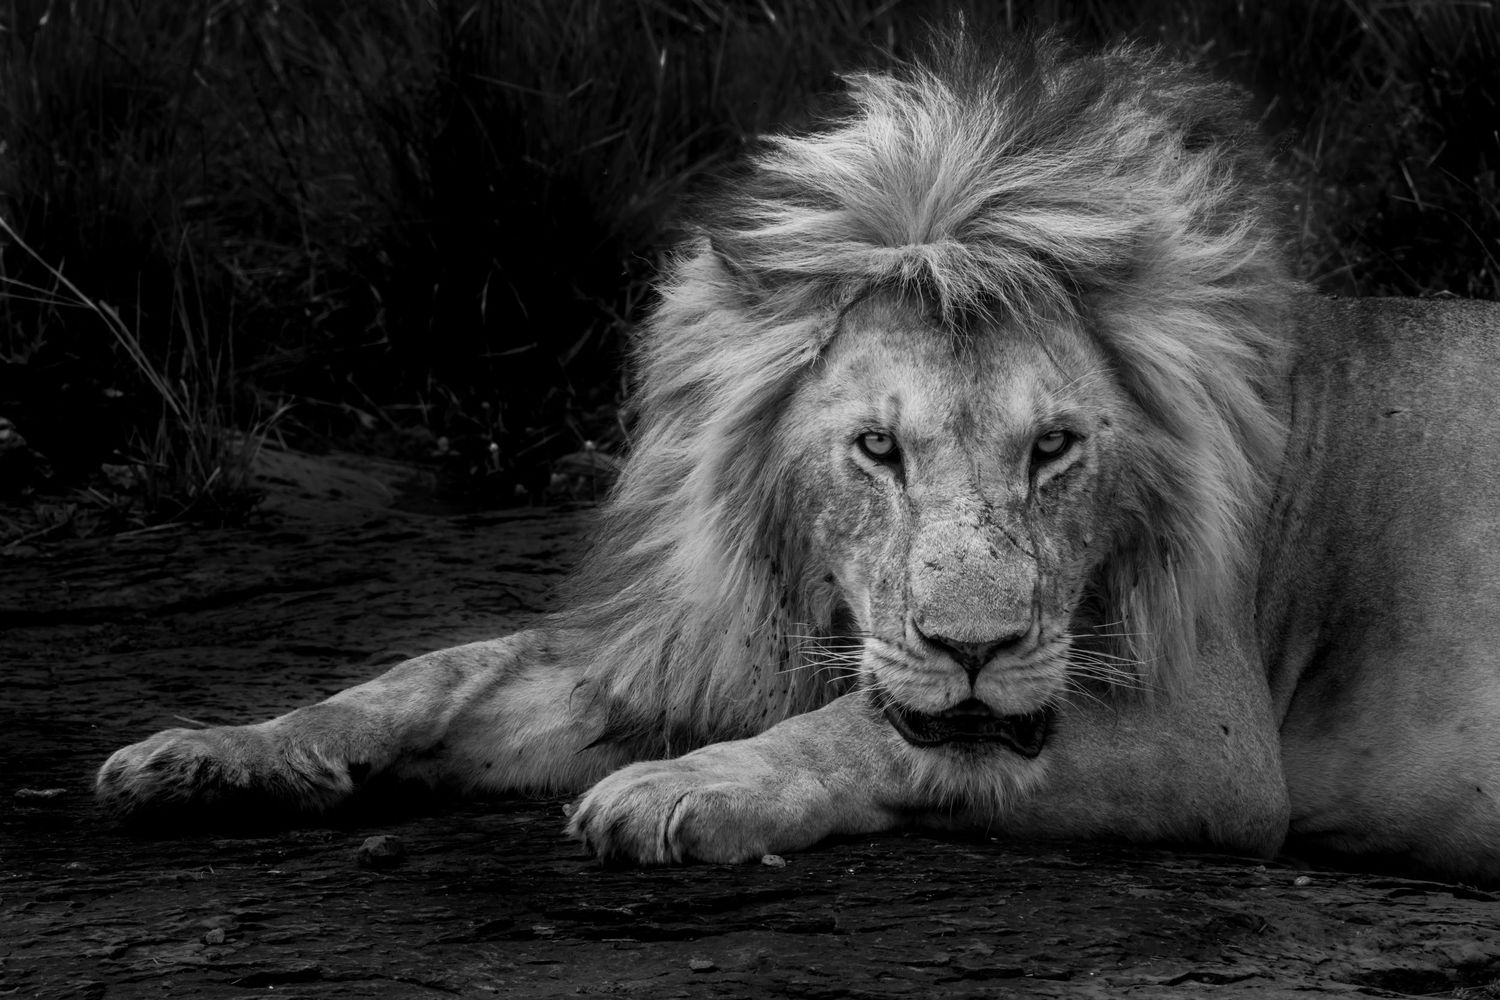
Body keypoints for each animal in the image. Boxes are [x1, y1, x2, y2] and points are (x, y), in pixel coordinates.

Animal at [95, 30, 1500, 884]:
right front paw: (215, 752)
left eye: (1053, 448)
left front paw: (680, 791)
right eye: (877, 448)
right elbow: (439, 670)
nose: (974, 648)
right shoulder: (703, 641)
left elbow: (867, 734)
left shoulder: (1210, 736)